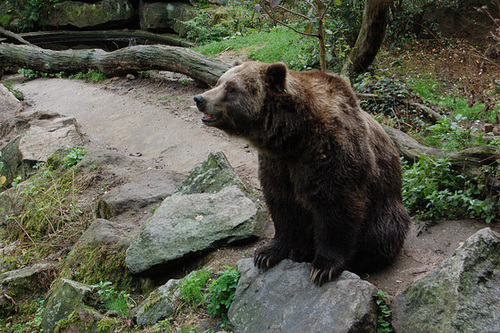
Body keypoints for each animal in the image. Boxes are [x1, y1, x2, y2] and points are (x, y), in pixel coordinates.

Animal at [193, 61, 408, 284]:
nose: (200, 99)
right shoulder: (278, 163)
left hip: (384, 206)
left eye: (231, 88)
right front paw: (267, 253)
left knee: (382, 233)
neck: (294, 136)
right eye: (219, 81)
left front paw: (323, 267)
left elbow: (337, 207)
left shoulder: (331, 152)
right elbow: (282, 204)